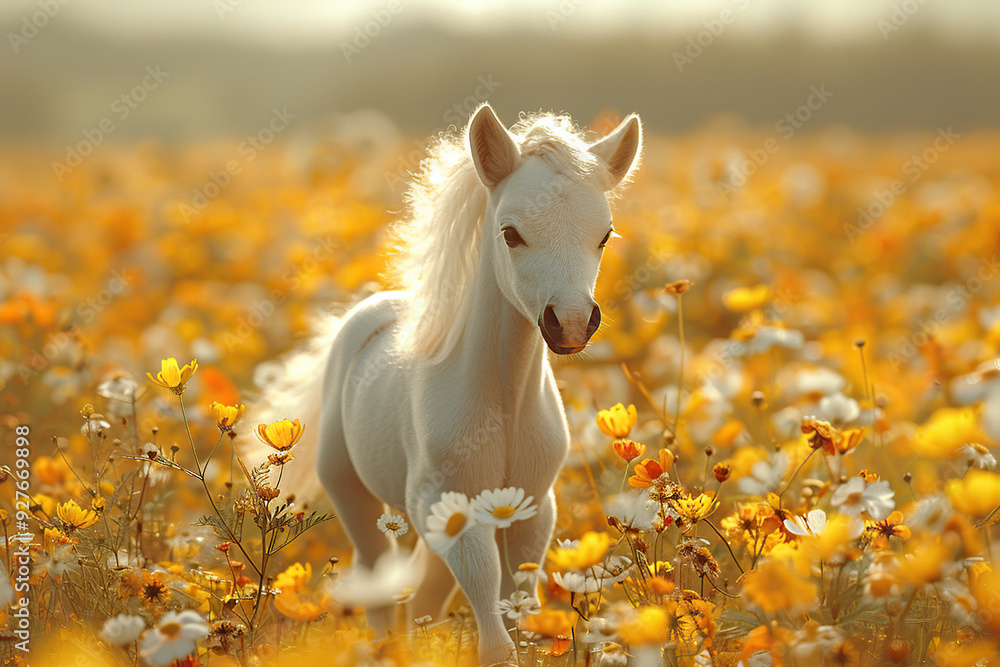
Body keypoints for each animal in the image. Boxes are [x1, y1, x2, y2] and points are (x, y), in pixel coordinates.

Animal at [247, 104, 644, 664]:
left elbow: (517, 606)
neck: (502, 405)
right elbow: (494, 632)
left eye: (604, 235)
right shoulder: (454, 508)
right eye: (510, 233)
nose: (568, 323)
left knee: (423, 600)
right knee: (379, 580)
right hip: (354, 492)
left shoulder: (531, 511)